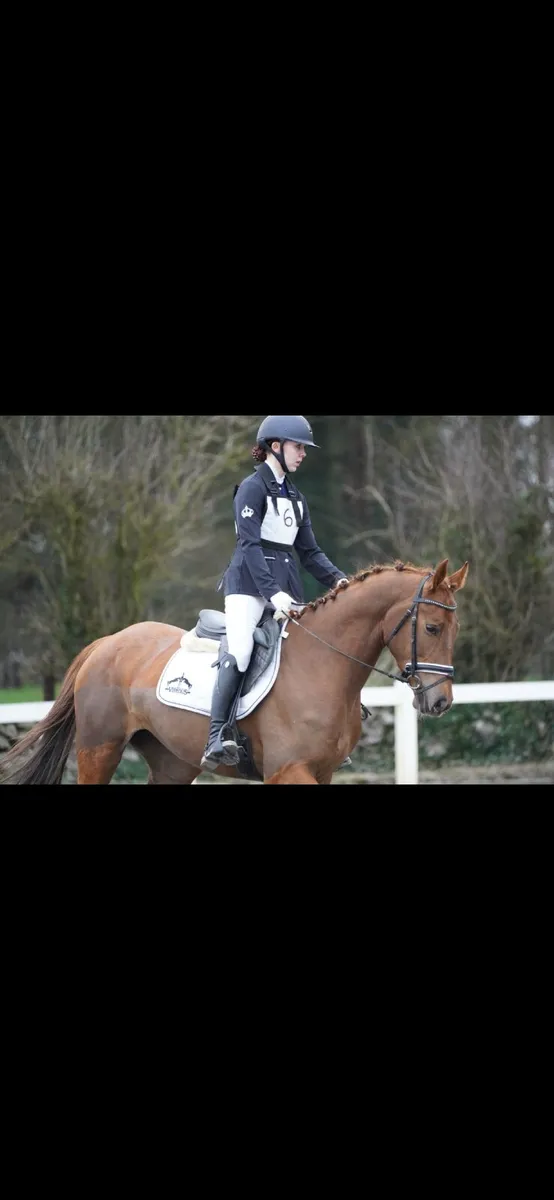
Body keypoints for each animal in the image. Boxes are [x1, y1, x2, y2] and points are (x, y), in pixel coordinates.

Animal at [0, 557, 469, 786]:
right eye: (431, 628)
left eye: (455, 629)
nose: (440, 702)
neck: (324, 668)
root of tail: (107, 643)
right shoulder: (287, 771)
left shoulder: (323, 771)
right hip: (99, 750)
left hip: (172, 763)